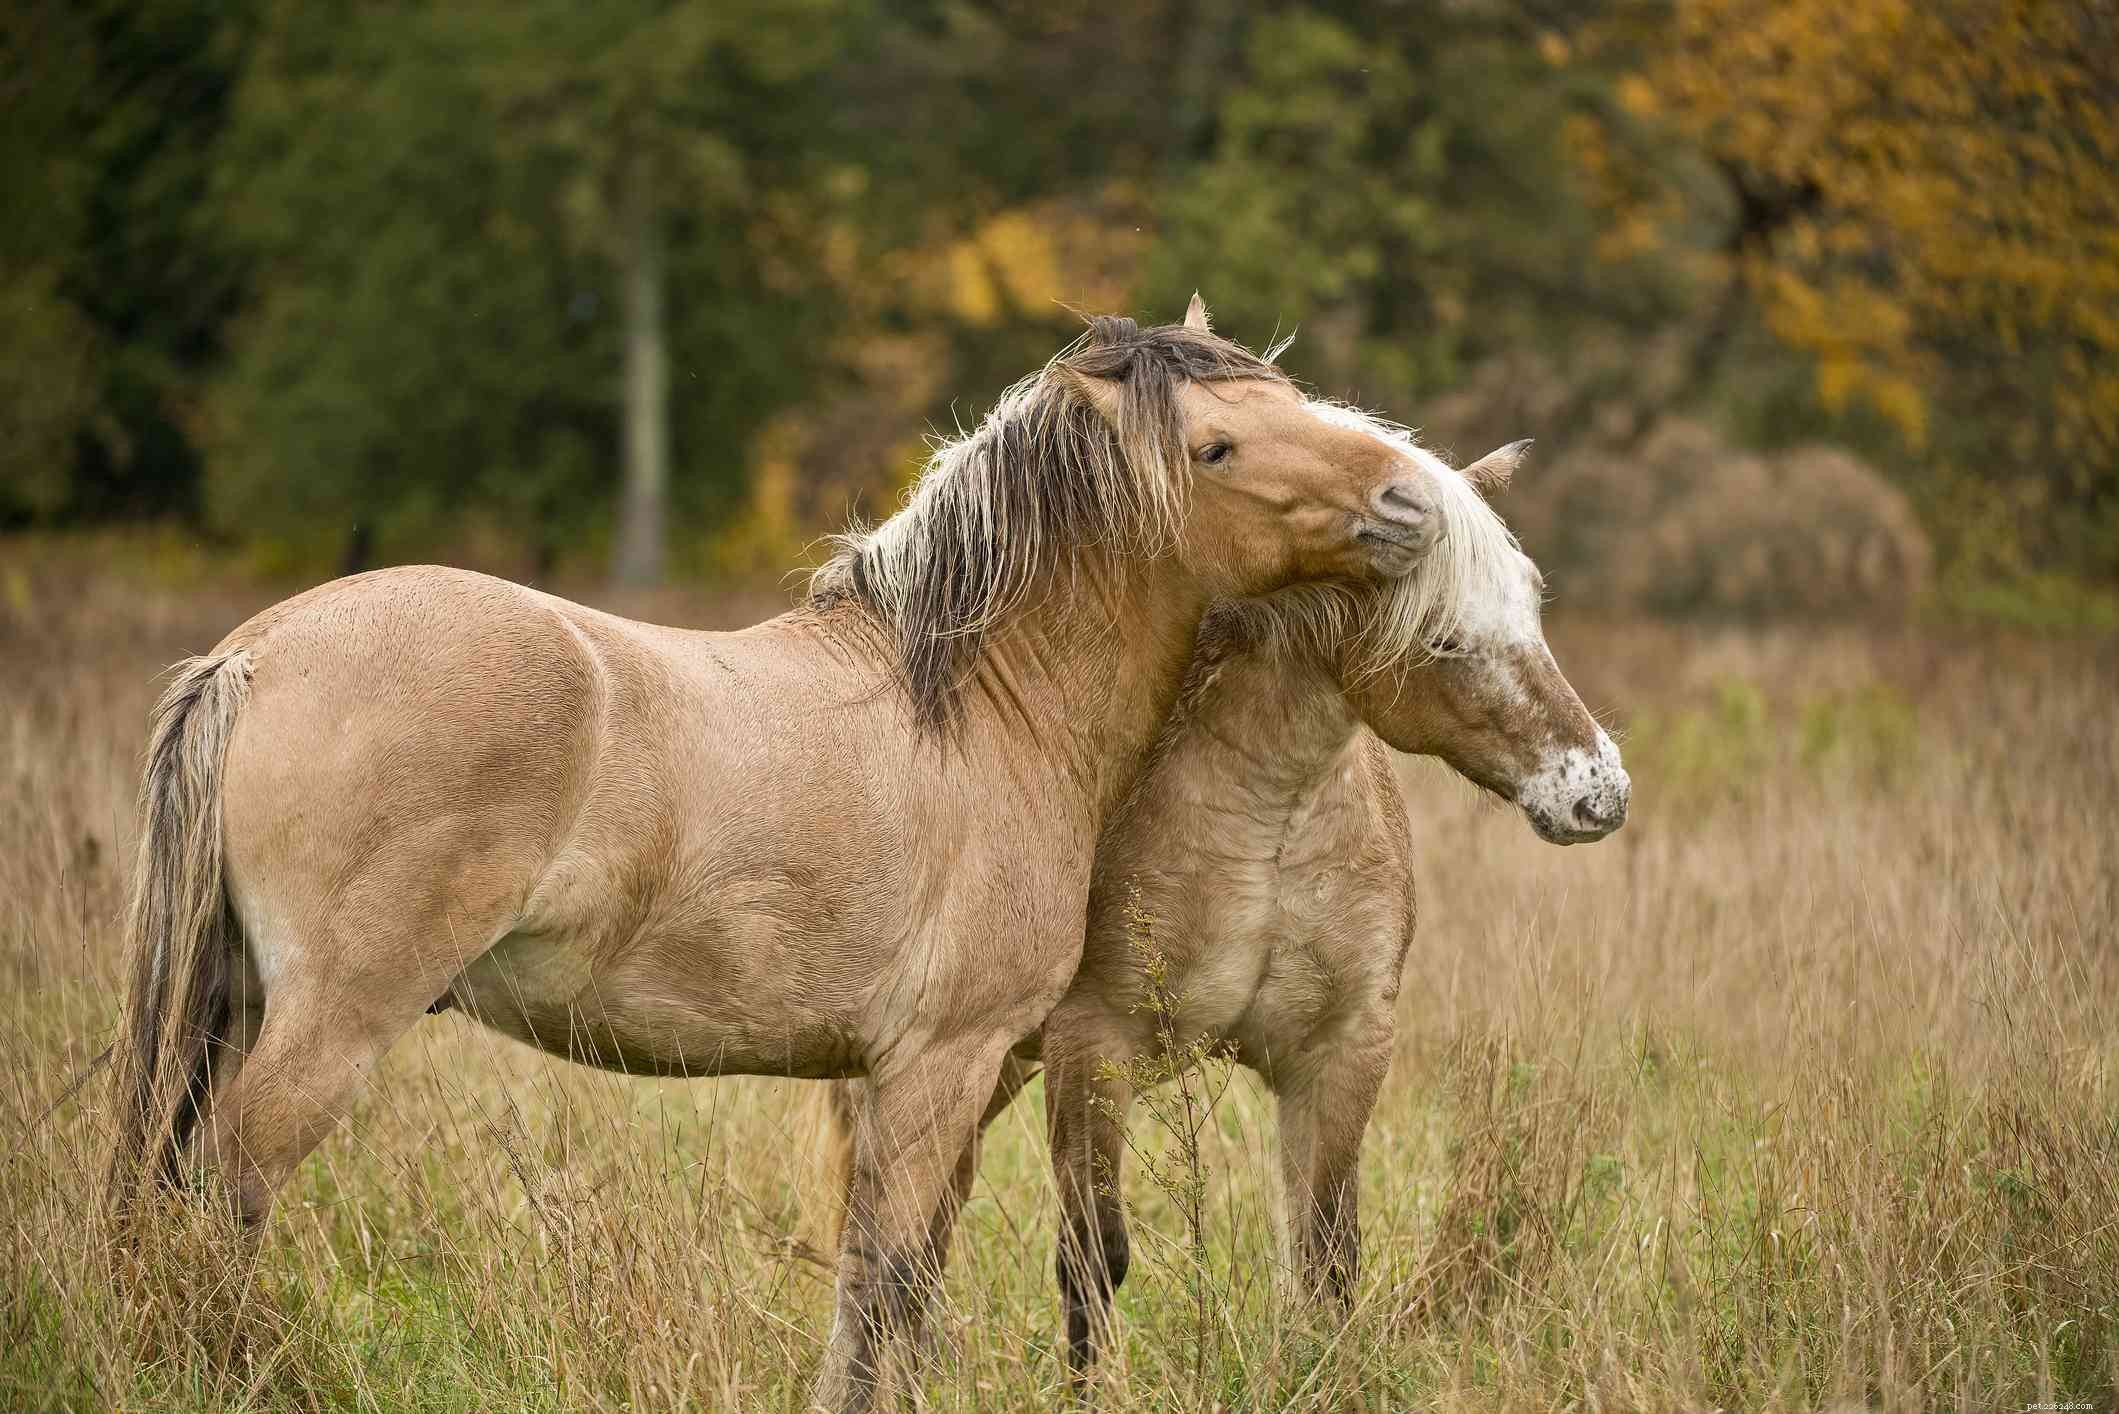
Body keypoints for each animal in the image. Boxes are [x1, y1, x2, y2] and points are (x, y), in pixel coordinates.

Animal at [102, 303, 1451, 1410]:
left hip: (233, 1001)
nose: (1410, 504)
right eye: (1215, 447)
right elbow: (891, 1289)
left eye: (1289, 401)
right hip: (331, 1023)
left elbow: (885, 1287)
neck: (982, 707)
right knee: (222, 1191)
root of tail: (254, 654)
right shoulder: (940, 1065)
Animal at [821, 425, 1630, 1385]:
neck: (1271, 813)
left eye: (1532, 602)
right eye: (1438, 639)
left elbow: (1326, 1256)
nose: (1594, 792)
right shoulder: (1092, 1049)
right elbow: (1092, 1256)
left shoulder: (1341, 1051)